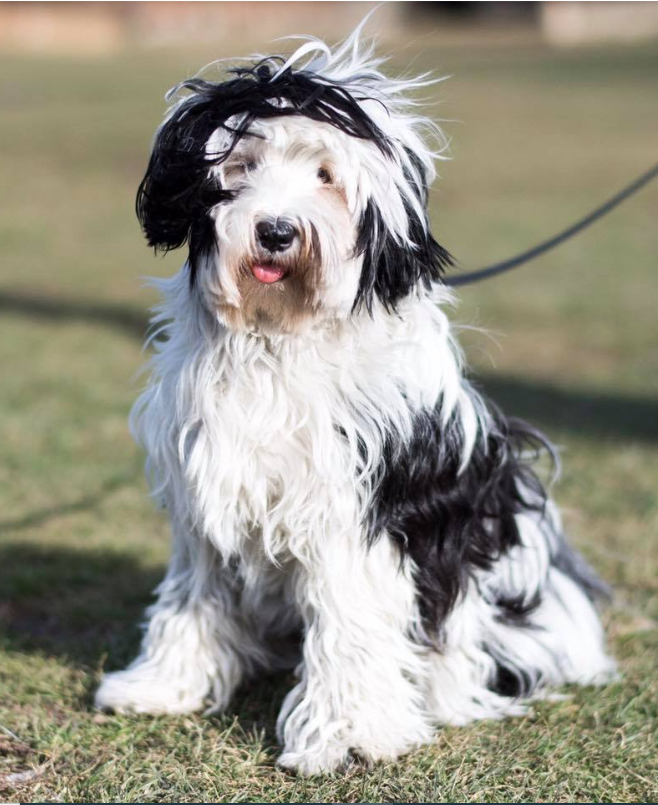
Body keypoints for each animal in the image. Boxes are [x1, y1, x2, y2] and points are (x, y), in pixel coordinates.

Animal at [95, 25, 616, 774]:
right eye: (241, 166)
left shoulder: (355, 513)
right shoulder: (207, 494)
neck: (278, 340)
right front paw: (163, 686)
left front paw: (346, 734)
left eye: (326, 176)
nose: (276, 230)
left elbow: (350, 621)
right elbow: (195, 594)